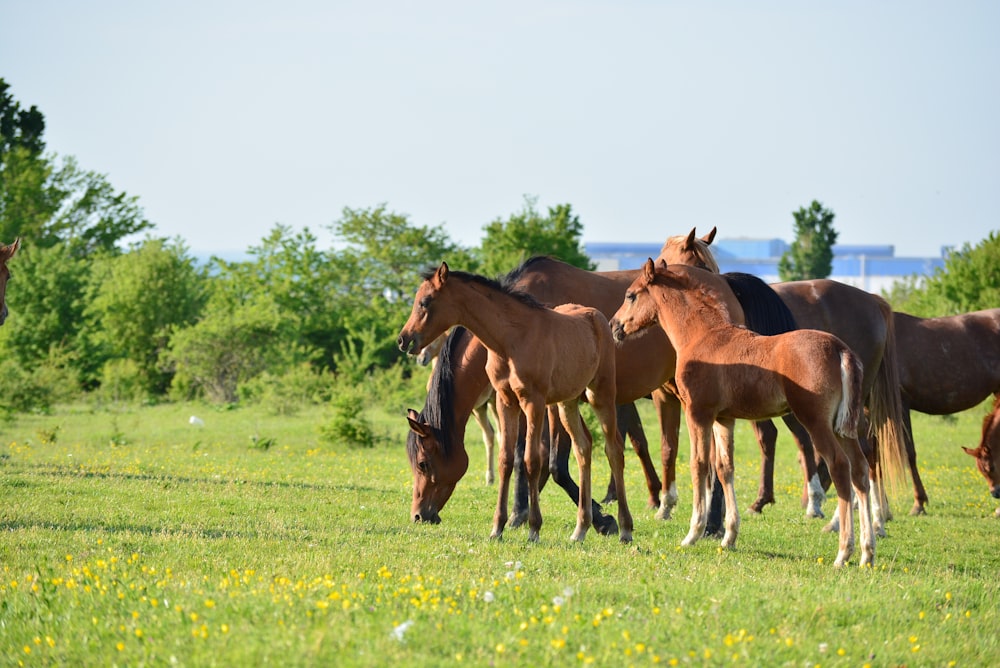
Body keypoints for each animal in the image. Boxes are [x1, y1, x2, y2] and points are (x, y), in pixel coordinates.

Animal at [398, 260, 632, 544]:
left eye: (425, 302)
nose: (404, 339)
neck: (511, 339)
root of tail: (598, 317)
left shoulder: (534, 402)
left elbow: (532, 460)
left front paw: (533, 527)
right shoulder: (505, 401)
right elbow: (506, 459)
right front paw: (497, 528)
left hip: (601, 395)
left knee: (614, 450)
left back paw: (625, 528)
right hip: (567, 403)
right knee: (583, 448)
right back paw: (581, 529)